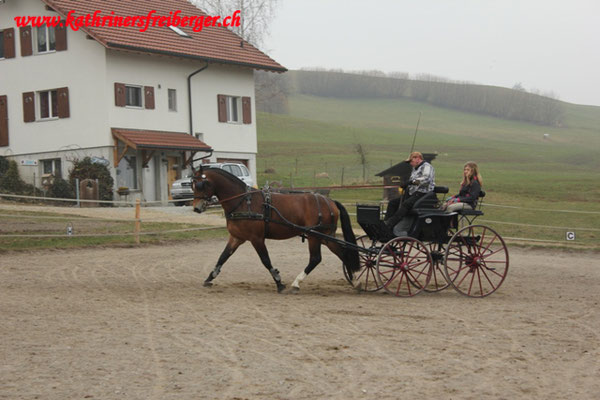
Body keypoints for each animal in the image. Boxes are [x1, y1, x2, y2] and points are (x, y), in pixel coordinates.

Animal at [193, 167, 360, 292]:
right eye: (193, 184)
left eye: (202, 184)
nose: (196, 208)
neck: (243, 202)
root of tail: (330, 201)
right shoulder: (237, 238)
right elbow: (222, 257)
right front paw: (209, 278)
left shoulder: (256, 238)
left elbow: (265, 260)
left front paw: (279, 282)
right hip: (324, 236)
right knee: (342, 252)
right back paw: (355, 280)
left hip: (314, 236)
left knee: (315, 258)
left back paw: (296, 283)